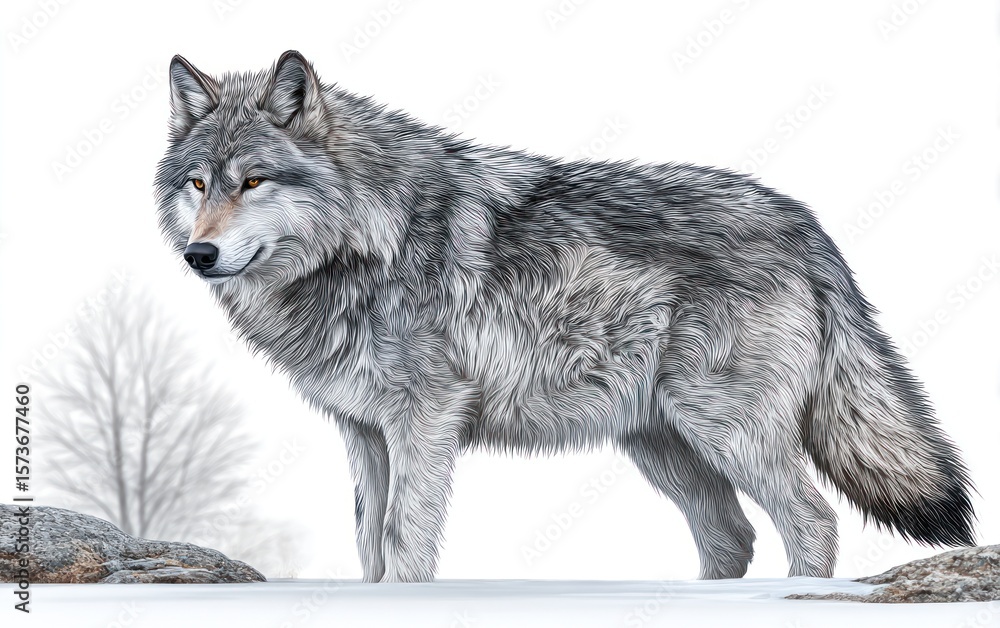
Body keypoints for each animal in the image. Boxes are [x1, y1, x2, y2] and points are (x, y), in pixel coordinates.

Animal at [154, 51, 975, 583]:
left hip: (724, 429)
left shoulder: (424, 418)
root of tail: (804, 220)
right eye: (198, 184)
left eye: (252, 181)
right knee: (731, 537)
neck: (366, 239)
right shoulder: (362, 428)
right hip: (664, 445)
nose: (199, 255)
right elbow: (368, 541)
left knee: (812, 520)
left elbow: (404, 540)